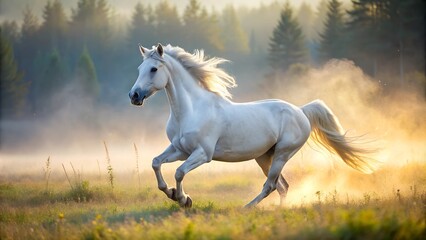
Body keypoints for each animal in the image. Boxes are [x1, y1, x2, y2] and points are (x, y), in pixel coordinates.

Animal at [128, 43, 374, 208]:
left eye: (153, 69)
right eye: (139, 68)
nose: (134, 96)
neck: (191, 110)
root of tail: (301, 111)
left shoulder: (202, 154)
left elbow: (179, 172)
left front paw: (183, 199)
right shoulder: (180, 150)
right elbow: (156, 163)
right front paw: (170, 192)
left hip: (283, 154)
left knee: (271, 185)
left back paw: (246, 208)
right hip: (264, 156)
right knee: (282, 186)